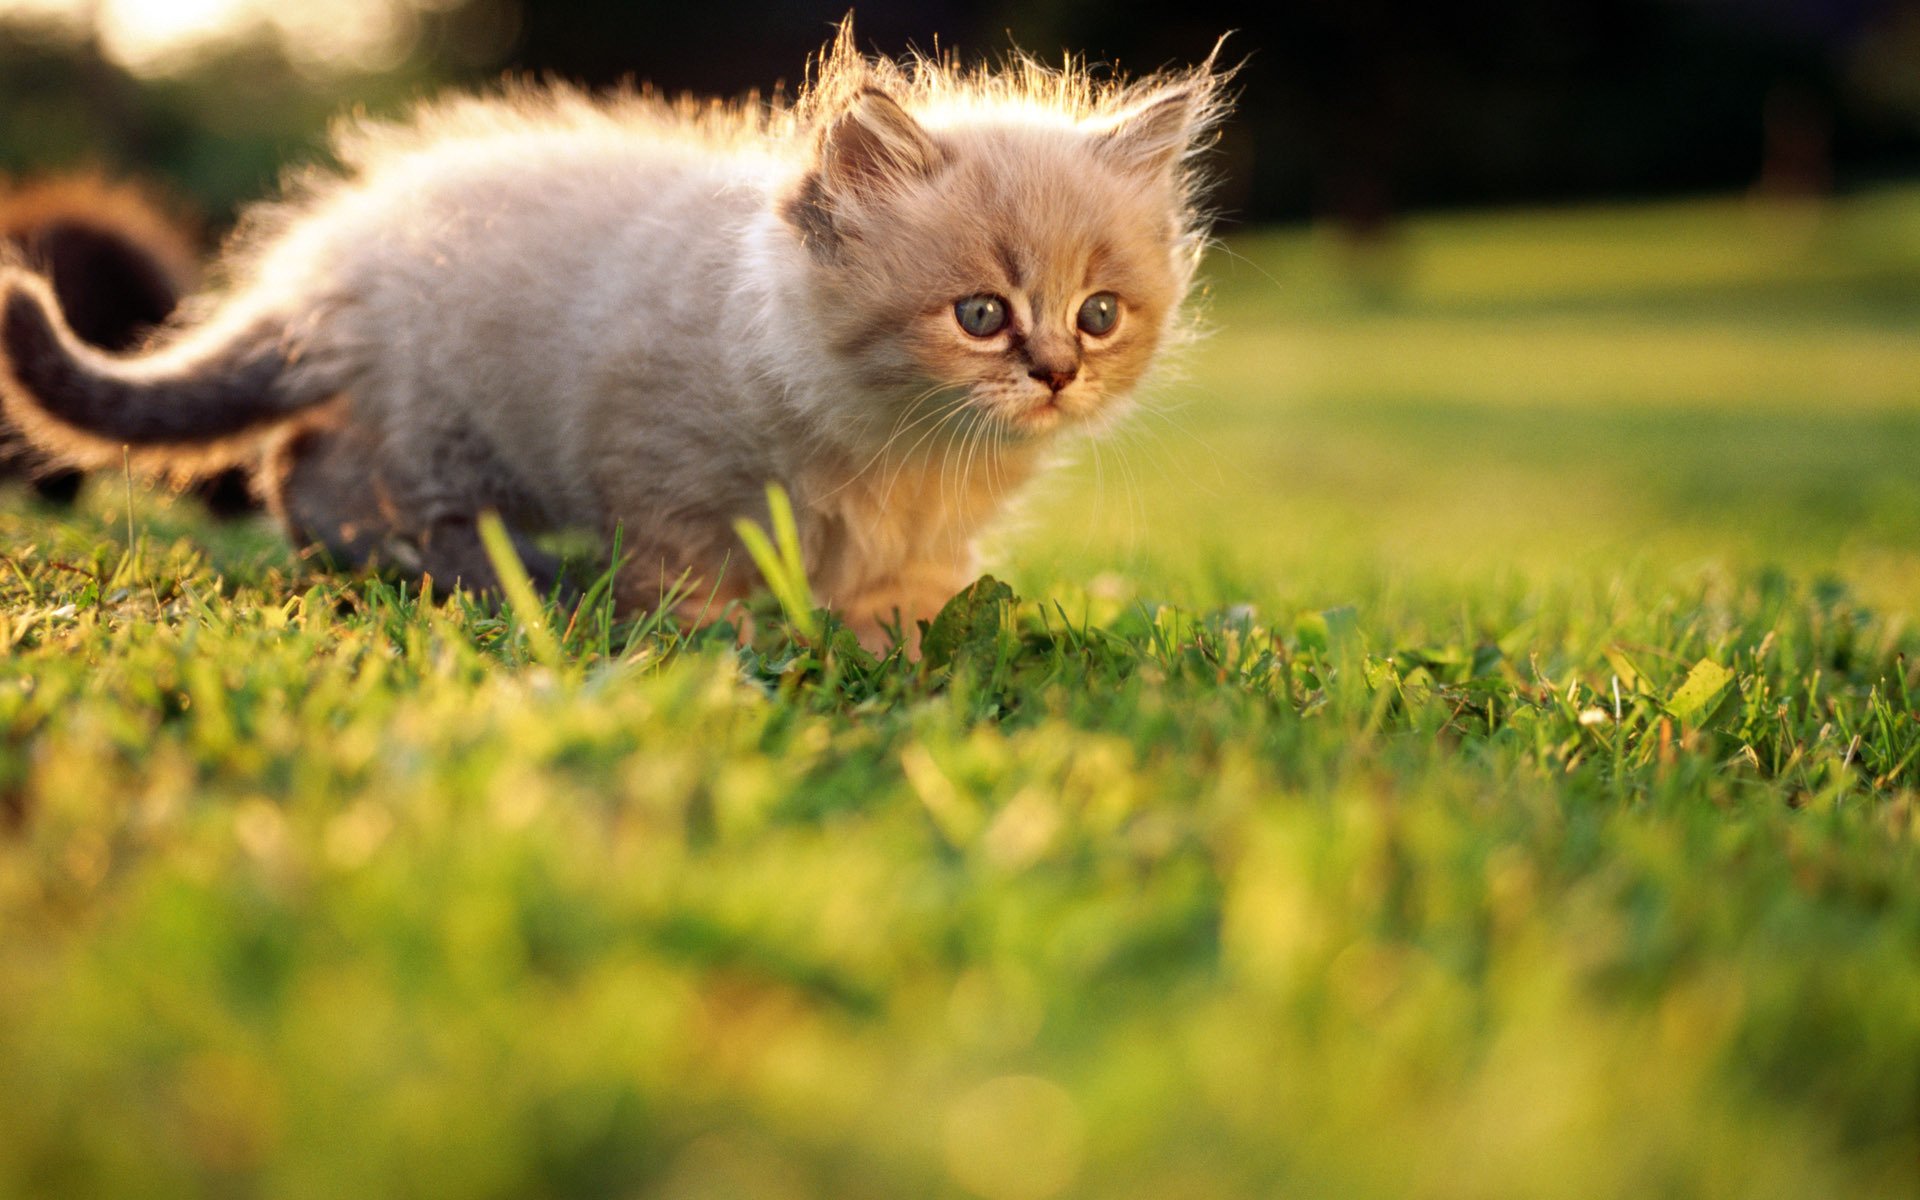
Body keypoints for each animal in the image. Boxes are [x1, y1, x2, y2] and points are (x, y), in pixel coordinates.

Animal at [0, 21, 1228, 645]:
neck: (902, 444)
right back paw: (514, 579)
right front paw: (731, 650)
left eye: (1099, 316)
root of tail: (328, 263)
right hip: (445, 429)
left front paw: (902, 647)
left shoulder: (920, 536)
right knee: (316, 487)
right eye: (980, 316)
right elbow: (694, 588)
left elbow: (908, 601)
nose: (1057, 373)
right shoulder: (658, 463)